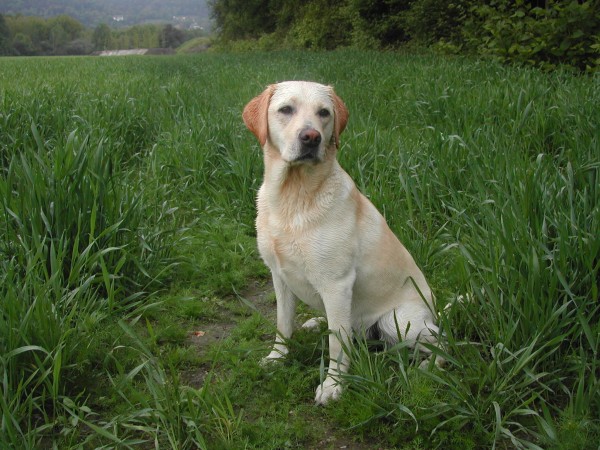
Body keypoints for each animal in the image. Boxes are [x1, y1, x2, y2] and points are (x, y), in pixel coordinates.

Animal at [243, 81, 440, 404]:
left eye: (324, 113)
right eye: (286, 109)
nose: (311, 137)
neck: (293, 197)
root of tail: (435, 310)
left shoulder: (336, 285)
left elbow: (337, 344)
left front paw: (333, 385)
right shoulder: (279, 276)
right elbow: (283, 324)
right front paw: (276, 358)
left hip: (398, 322)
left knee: (443, 339)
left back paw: (432, 365)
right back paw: (316, 323)